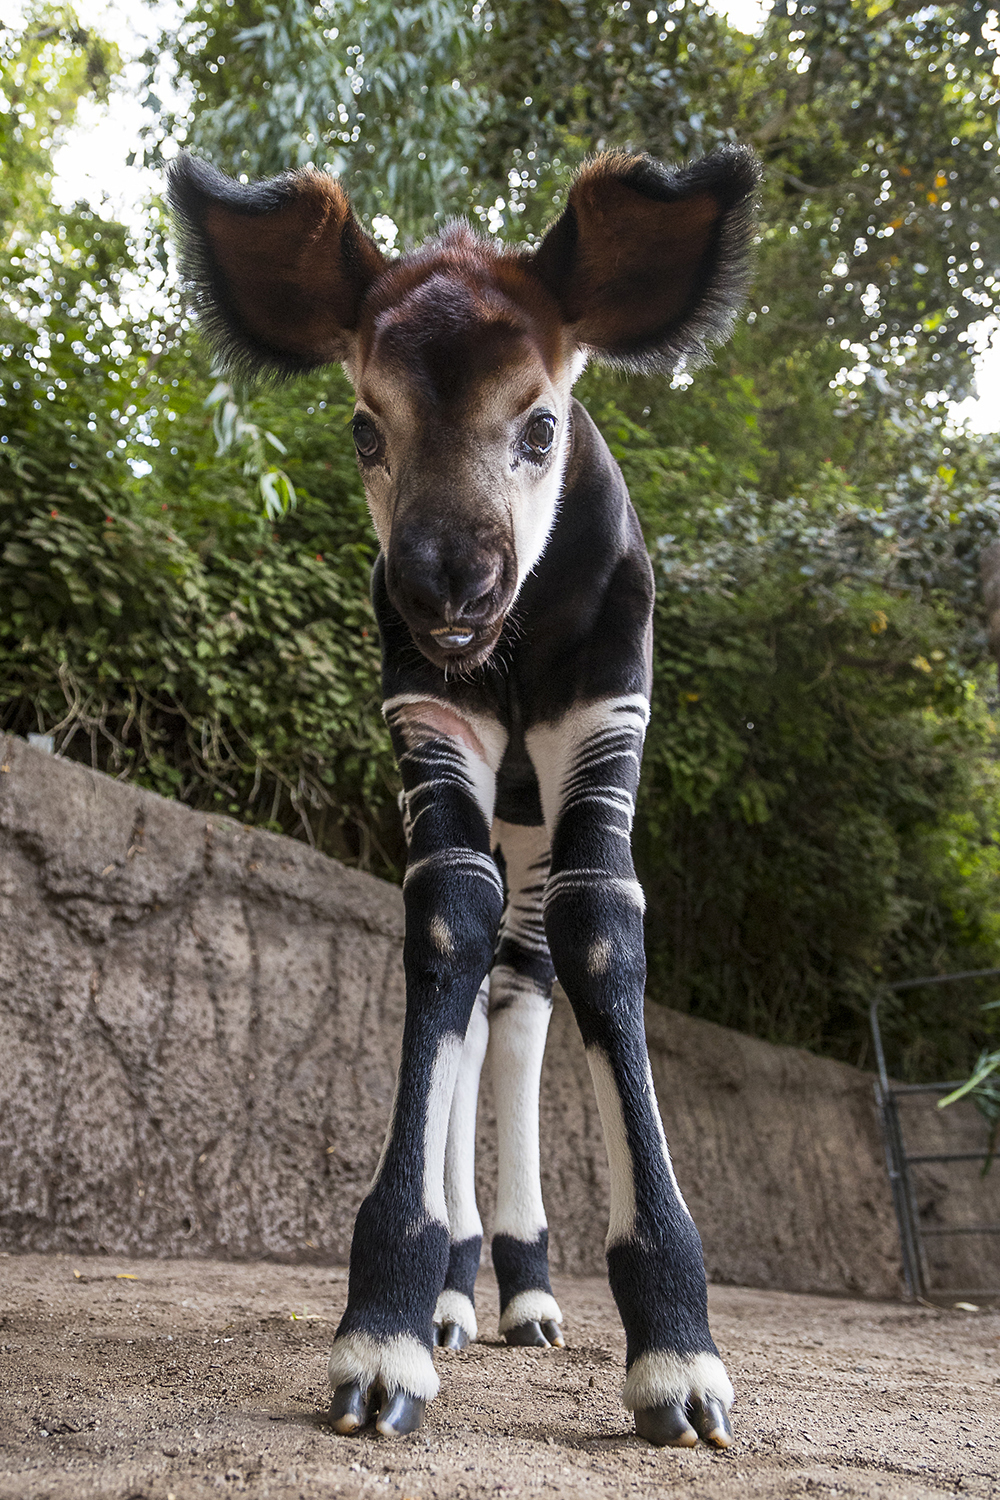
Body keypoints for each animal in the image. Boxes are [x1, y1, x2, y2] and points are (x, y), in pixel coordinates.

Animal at [170, 146, 758, 1446]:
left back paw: (529, 1295)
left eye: (539, 424)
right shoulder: (428, 725)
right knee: (485, 964)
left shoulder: (607, 721)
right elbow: (443, 915)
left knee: (527, 987)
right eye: (362, 427)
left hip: (534, 816)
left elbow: (604, 928)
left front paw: (677, 1358)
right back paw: (451, 1291)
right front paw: (385, 1326)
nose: (446, 590)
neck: (519, 643)